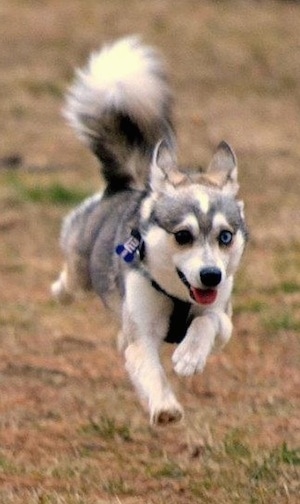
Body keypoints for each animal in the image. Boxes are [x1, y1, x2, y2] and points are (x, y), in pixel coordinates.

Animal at [52, 36, 248, 426]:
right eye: (183, 235)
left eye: (225, 236)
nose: (211, 275)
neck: (179, 296)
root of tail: (130, 185)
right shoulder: (140, 335)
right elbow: (150, 367)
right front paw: (165, 407)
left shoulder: (223, 319)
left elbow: (207, 323)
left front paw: (189, 356)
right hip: (81, 261)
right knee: (72, 276)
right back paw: (60, 291)